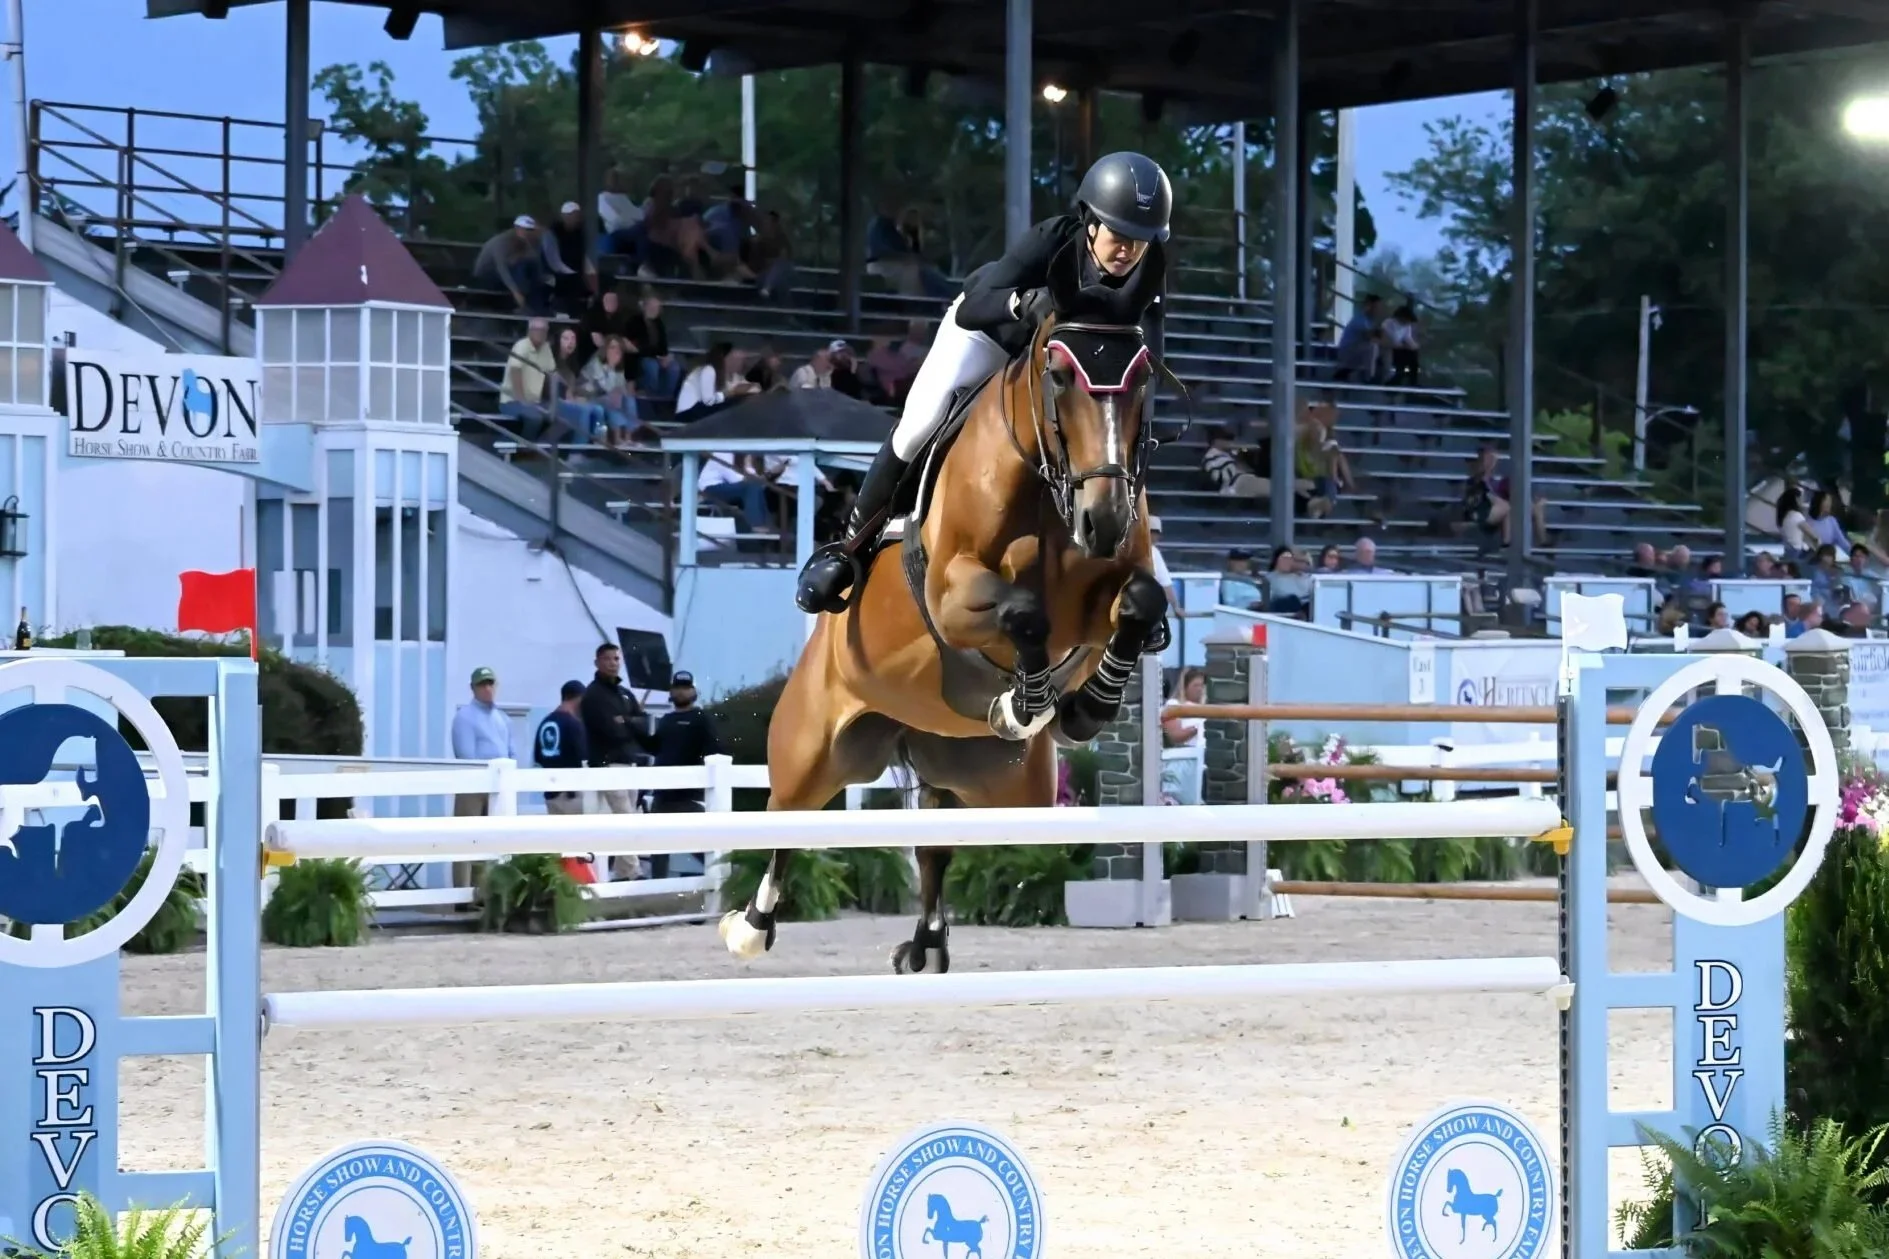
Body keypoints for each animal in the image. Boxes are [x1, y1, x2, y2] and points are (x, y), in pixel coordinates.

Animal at [720, 243, 1169, 973]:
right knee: (787, 814)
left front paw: (1084, 707)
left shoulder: (1107, 593)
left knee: (936, 830)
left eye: (1143, 380)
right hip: (813, 745)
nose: (1103, 520)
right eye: (1058, 376)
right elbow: (1023, 612)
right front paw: (1026, 703)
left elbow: (1138, 601)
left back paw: (926, 941)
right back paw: (751, 924)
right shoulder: (954, 595)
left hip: (1000, 787)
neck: (1048, 483)